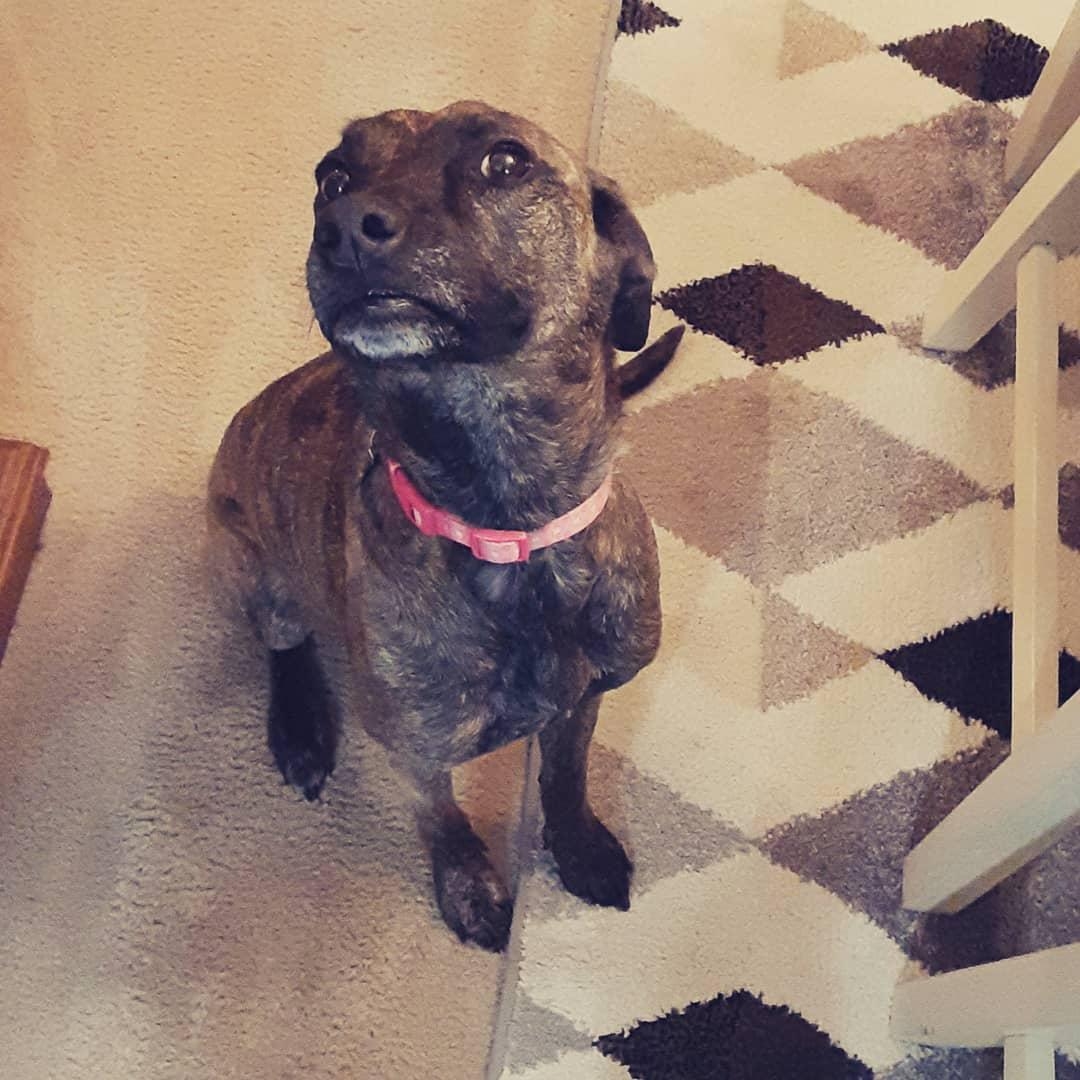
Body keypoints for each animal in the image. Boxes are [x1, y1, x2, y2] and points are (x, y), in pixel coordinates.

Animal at [206, 101, 679, 951]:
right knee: (283, 639)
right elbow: (443, 821)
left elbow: (565, 776)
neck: (507, 523)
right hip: (240, 553)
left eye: (506, 161)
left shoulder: (586, 697)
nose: (345, 226)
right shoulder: (414, 747)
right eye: (332, 176)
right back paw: (300, 727)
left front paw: (579, 848)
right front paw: (471, 890)